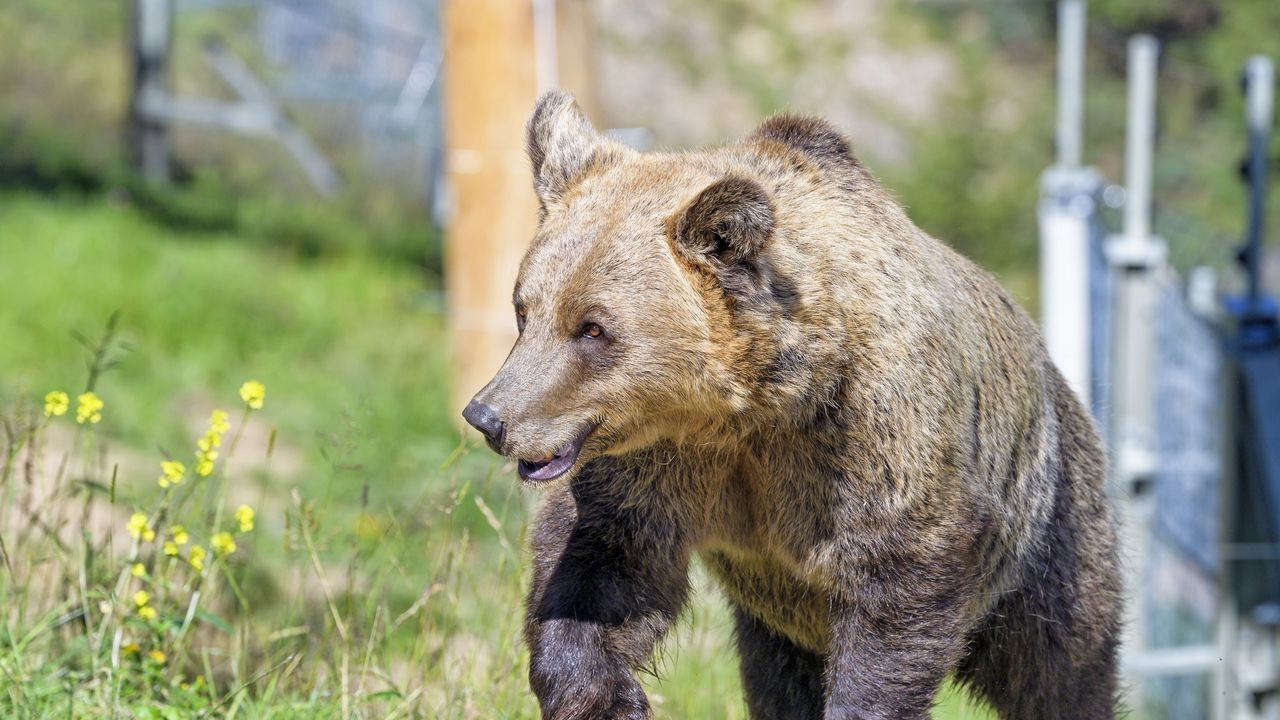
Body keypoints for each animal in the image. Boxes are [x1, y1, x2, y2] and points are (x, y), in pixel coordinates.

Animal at [463, 90, 1121, 717]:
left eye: (593, 328)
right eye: (525, 310)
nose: (489, 416)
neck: (755, 408)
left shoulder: (872, 447)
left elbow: (894, 595)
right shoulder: (664, 466)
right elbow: (601, 567)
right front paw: (607, 697)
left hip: (1049, 532)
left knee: (1059, 668)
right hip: (775, 624)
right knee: (778, 679)